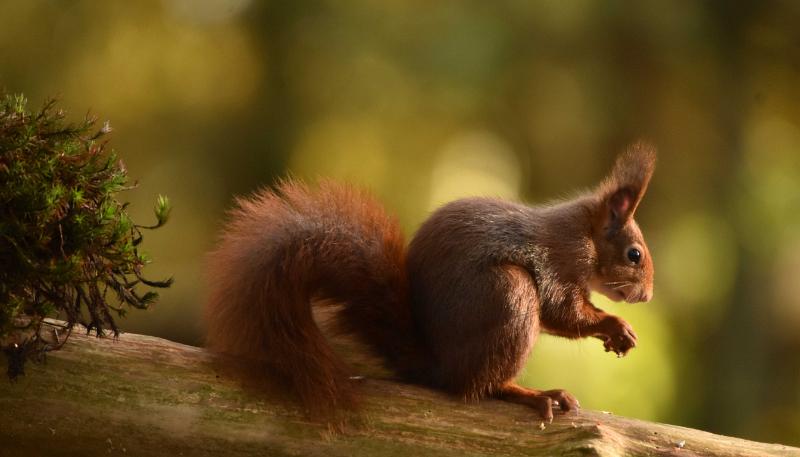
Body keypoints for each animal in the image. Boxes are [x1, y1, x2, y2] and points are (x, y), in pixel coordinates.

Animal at [206, 142, 656, 420]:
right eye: (634, 255)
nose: (648, 296)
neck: (586, 234)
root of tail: (437, 368)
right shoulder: (561, 261)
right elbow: (563, 312)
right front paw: (614, 326)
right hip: (510, 294)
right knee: (479, 387)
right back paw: (533, 395)